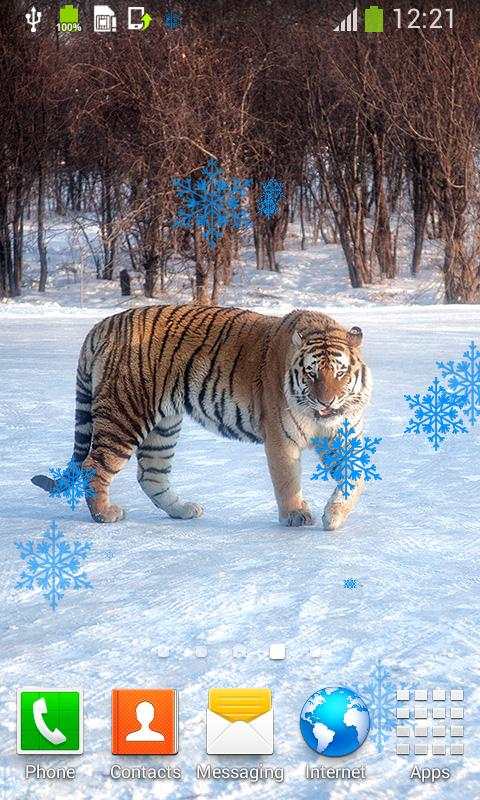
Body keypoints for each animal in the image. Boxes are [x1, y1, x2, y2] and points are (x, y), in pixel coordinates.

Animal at [32, 304, 372, 530]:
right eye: (312, 373)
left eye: (340, 373)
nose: (326, 401)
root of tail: (103, 324)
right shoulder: (281, 440)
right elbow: (287, 481)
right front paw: (295, 515)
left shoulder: (342, 437)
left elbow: (356, 478)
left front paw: (335, 515)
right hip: (124, 415)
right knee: (93, 466)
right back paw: (105, 514)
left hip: (163, 427)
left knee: (151, 475)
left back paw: (183, 510)